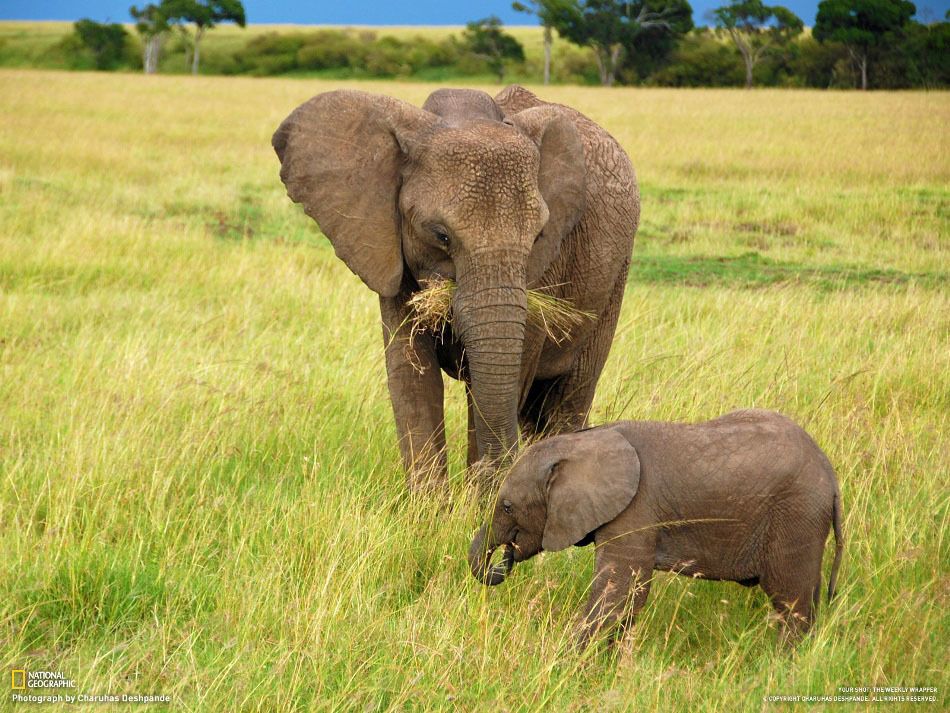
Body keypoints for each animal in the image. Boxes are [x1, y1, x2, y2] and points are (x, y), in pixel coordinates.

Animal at [278, 83, 648, 492]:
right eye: (441, 235)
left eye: (538, 237)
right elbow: (412, 376)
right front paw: (430, 508)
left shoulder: (548, 266)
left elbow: (496, 382)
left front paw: (478, 503)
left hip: (615, 279)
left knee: (568, 398)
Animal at [466, 408, 840, 648]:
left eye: (508, 506)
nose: (506, 557)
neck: (585, 442)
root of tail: (831, 477)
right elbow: (624, 599)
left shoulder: (635, 511)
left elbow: (620, 592)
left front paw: (566, 660)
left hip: (796, 516)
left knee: (792, 603)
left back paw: (781, 664)